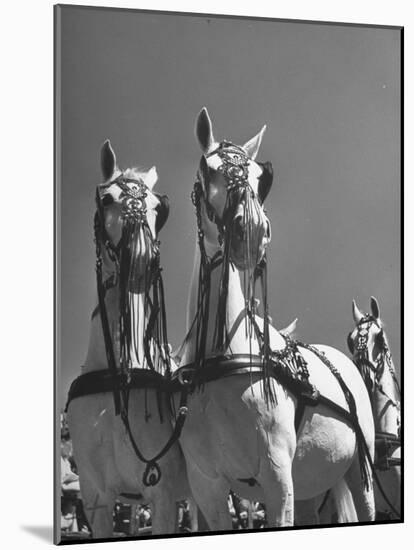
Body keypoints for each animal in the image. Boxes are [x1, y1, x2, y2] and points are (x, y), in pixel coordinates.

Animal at [67, 141, 196, 540]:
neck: (118, 378)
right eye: (106, 199)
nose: (140, 263)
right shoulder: (97, 498)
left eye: (159, 207)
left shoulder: (163, 496)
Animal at [171, 110, 376, 532]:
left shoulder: (277, 475)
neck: (223, 358)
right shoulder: (207, 485)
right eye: (207, 171)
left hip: (357, 470)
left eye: (258, 177)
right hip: (312, 484)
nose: (251, 232)